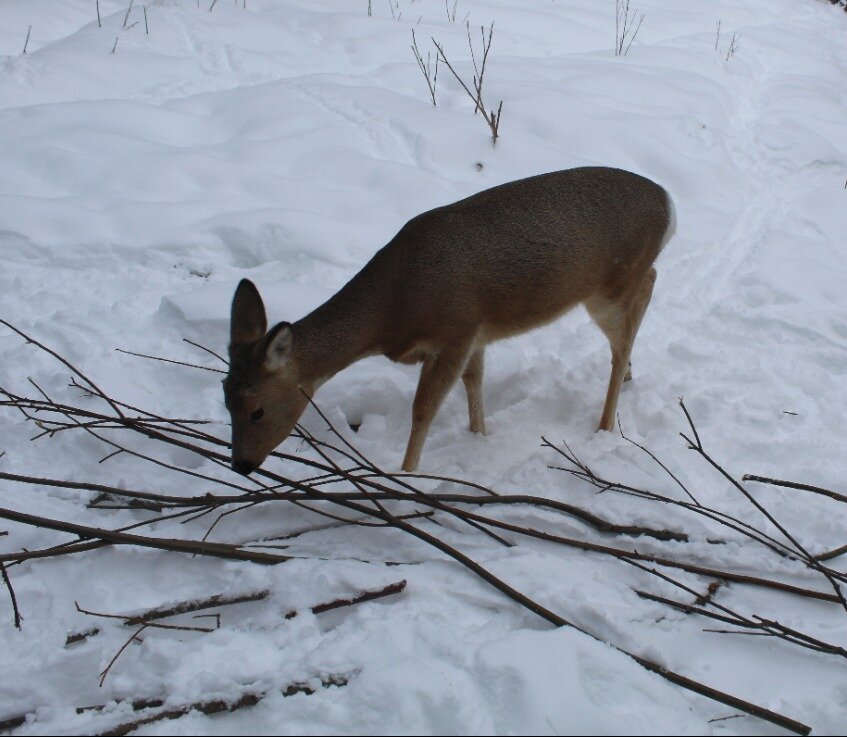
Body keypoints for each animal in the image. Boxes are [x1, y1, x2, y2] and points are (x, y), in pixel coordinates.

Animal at [224, 167, 676, 474]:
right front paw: (479, 438)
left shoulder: (456, 328)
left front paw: (406, 475)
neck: (391, 311)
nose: (241, 465)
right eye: (225, 397)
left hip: (607, 290)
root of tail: (669, 204)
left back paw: (605, 423)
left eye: (258, 411)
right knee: (645, 293)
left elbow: (424, 409)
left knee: (629, 326)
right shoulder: (475, 333)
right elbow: (474, 383)